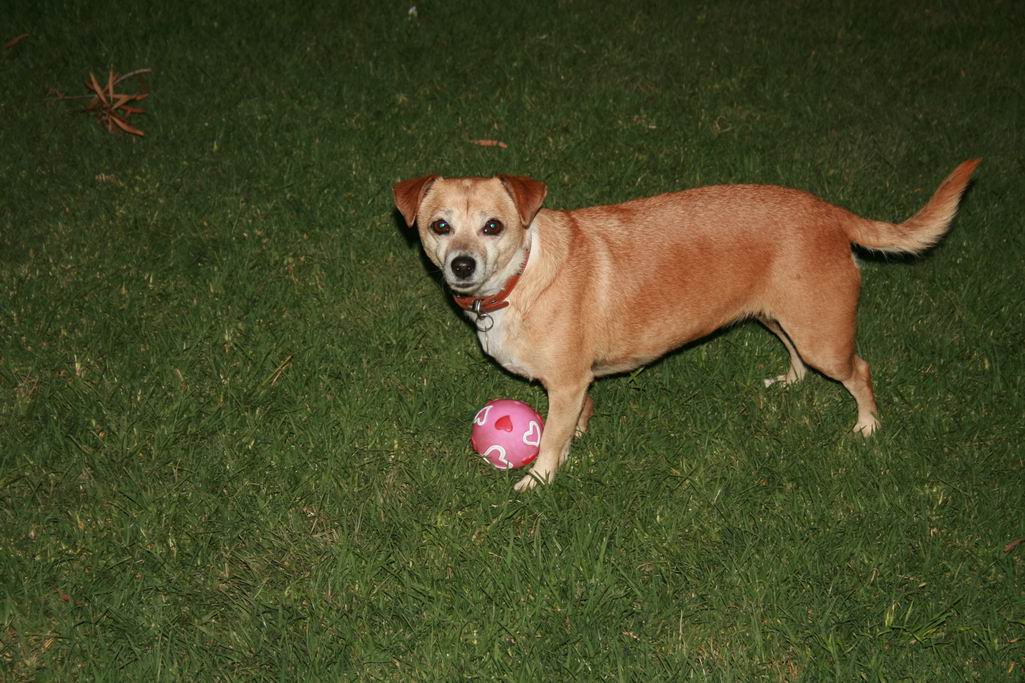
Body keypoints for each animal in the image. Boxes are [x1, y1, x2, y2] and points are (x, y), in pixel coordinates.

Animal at [393, 160, 980, 491]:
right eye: (440, 226)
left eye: (493, 226)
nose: (461, 264)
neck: (523, 275)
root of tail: (830, 211)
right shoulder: (577, 384)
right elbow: (576, 420)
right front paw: (578, 437)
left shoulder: (565, 384)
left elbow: (552, 440)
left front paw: (538, 481)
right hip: (777, 316)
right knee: (796, 356)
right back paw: (789, 382)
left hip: (824, 339)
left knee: (860, 370)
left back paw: (867, 427)